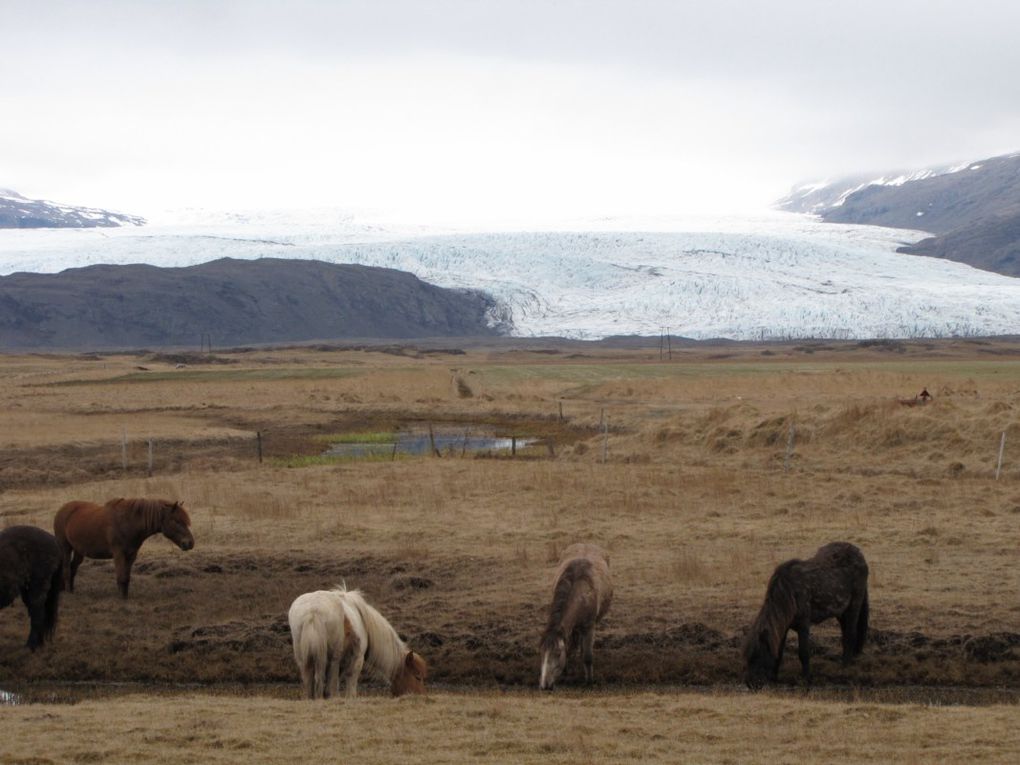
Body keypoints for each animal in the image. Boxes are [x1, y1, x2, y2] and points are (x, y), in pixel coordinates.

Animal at [53, 497, 193, 599]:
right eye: (176, 521)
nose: (190, 543)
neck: (128, 523)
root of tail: (62, 510)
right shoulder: (118, 554)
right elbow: (121, 576)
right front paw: (121, 598)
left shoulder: (131, 555)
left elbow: (126, 577)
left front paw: (125, 596)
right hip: (65, 547)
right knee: (67, 569)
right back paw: (69, 592)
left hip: (79, 551)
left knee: (73, 568)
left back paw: (71, 590)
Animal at [289, 587, 428, 701]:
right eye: (417, 677)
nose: (420, 696)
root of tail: (312, 612)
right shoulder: (357, 659)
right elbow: (350, 683)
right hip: (333, 658)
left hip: (304, 658)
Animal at [542, 542, 612, 693]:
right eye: (542, 652)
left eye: (557, 653)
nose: (545, 685)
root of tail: (587, 543)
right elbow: (568, 648)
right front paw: (566, 671)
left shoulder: (589, 627)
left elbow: (588, 656)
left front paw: (589, 681)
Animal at [742, 542, 869, 693]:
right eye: (748, 658)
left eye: (759, 655)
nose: (751, 684)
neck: (789, 592)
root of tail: (859, 554)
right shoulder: (784, 627)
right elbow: (779, 652)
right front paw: (774, 676)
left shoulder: (803, 625)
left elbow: (803, 652)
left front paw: (806, 677)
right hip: (841, 612)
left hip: (853, 607)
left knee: (850, 634)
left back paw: (844, 666)